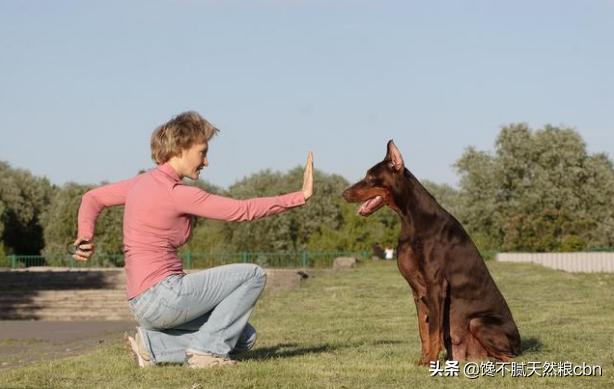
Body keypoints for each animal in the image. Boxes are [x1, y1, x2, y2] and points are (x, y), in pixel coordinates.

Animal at [344, 140, 524, 364]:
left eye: (370, 177)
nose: (343, 193)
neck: (411, 219)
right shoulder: (417, 291)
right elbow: (423, 330)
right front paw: (423, 361)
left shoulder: (436, 285)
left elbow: (434, 331)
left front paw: (430, 362)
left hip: (479, 322)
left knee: (510, 357)